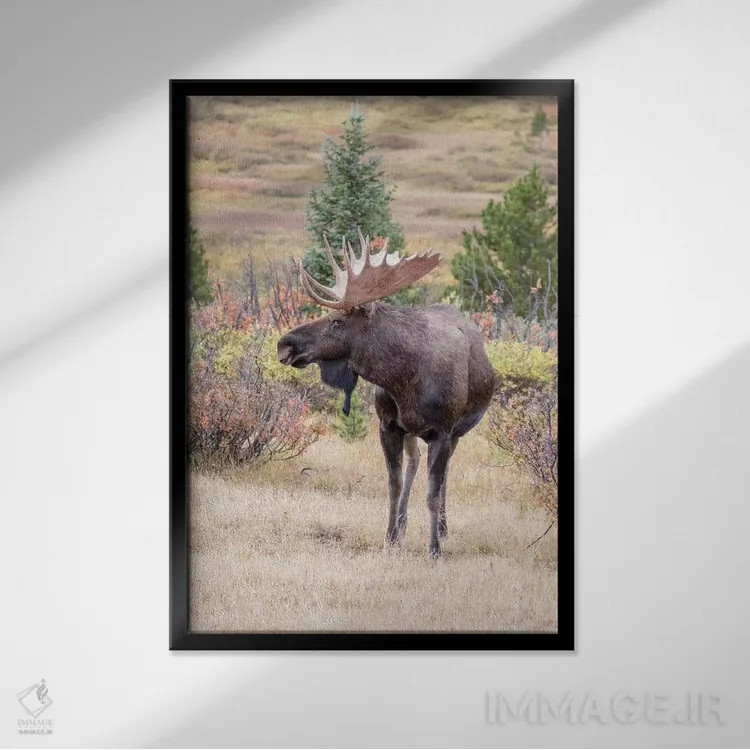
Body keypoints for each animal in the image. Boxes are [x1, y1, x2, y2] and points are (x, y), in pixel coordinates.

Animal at [277, 232, 495, 557]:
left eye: (338, 321)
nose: (285, 344)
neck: (404, 380)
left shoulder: (443, 430)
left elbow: (432, 493)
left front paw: (433, 549)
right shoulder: (388, 426)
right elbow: (393, 485)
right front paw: (390, 537)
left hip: (457, 430)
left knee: (444, 474)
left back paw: (443, 530)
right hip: (412, 431)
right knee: (415, 462)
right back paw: (404, 524)